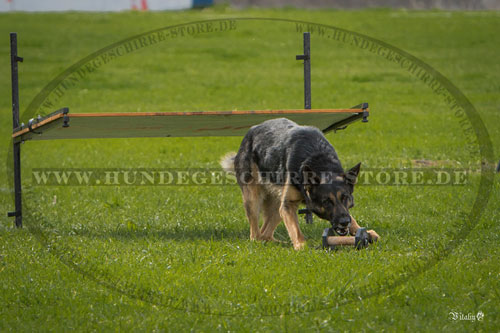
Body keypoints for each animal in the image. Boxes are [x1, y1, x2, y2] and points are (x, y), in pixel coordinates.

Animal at [220, 118, 378, 248]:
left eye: (345, 198)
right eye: (326, 201)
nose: (344, 222)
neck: (318, 159)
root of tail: (250, 132)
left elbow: (351, 216)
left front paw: (363, 231)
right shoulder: (288, 205)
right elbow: (295, 230)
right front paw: (302, 246)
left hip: (277, 204)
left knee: (265, 234)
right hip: (254, 199)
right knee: (256, 236)